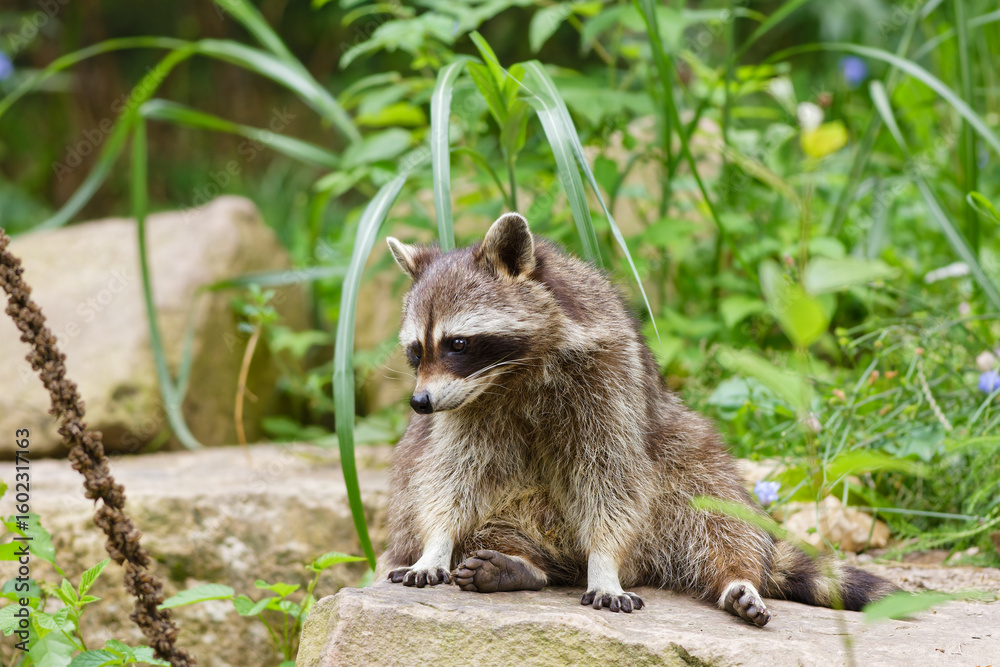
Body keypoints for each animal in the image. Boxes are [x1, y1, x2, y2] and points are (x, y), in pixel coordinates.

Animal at [377, 212, 898, 626]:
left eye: (457, 344)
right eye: (416, 350)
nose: (420, 403)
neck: (514, 374)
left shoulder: (609, 379)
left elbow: (613, 476)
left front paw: (605, 564)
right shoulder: (466, 411)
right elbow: (450, 476)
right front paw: (437, 543)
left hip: (681, 449)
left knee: (710, 499)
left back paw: (735, 577)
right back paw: (520, 563)